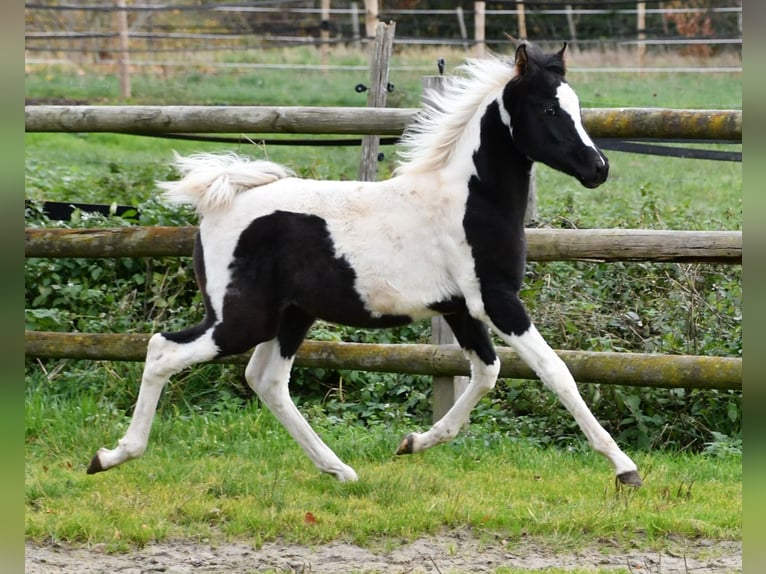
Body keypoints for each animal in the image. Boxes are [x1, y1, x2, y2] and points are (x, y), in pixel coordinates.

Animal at [88, 42, 642, 488]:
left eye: (576, 105)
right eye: (548, 107)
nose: (599, 169)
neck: (466, 200)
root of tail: (220, 202)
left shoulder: (460, 307)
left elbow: (487, 372)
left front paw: (413, 442)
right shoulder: (496, 300)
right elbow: (556, 371)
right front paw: (624, 468)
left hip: (292, 316)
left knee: (266, 380)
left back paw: (340, 470)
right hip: (242, 318)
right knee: (163, 350)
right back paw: (110, 456)